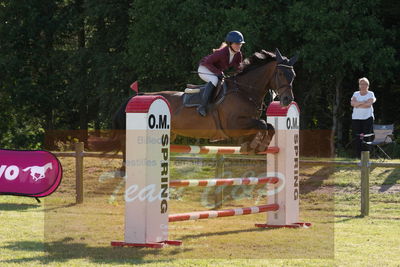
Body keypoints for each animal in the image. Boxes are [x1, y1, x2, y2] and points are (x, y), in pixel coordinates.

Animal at [97, 48, 296, 175]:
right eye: (280, 74)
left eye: (293, 75)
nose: (287, 100)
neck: (245, 91)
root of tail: (139, 96)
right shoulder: (234, 125)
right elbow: (263, 124)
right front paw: (255, 146)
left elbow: (269, 126)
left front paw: (255, 146)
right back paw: (124, 170)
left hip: (171, 134)